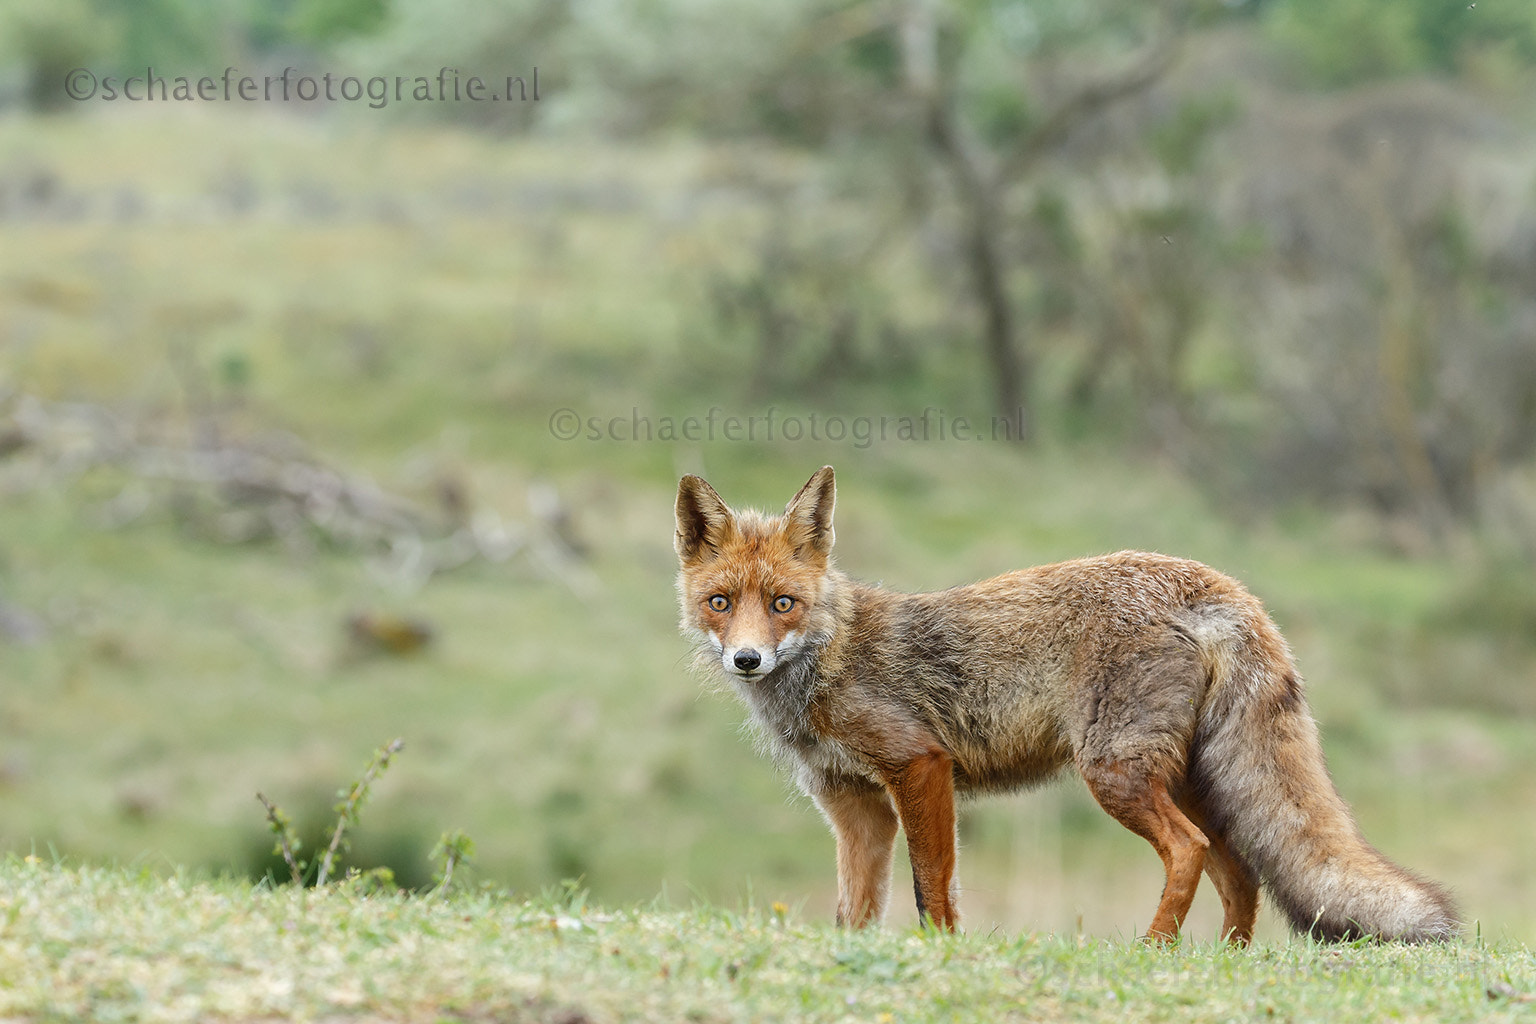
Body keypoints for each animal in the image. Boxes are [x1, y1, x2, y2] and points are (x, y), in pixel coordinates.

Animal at [678, 463, 1456, 945]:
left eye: (783, 604)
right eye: (721, 603)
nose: (747, 660)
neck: (830, 658)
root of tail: (1214, 581)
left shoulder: (920, 768)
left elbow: (935, 891)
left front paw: (945, 955)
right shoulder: (855, 809)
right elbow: (856, 913)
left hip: (1115, 774)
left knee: (1191, 851)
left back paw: (1153, 952)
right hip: (1189, 779)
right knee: (1239, 873)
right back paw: (1223, 967)